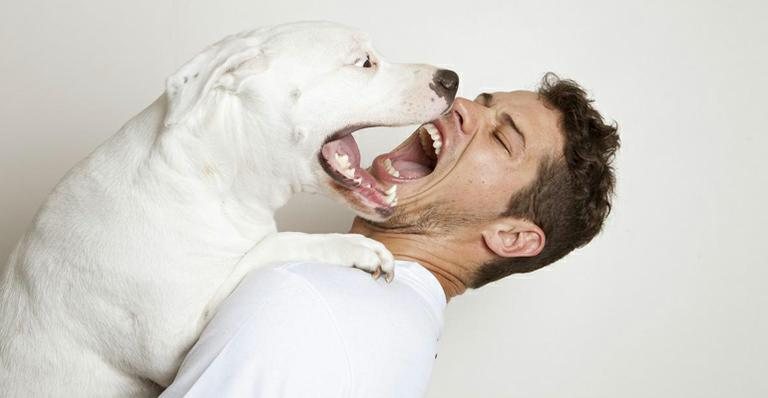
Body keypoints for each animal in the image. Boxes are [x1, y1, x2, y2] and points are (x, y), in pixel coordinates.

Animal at [0, 22, 456, 398]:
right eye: (364, 62)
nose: (451, 79)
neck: (207, 178)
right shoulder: (175, 345)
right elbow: (271, 246)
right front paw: (357, 248)